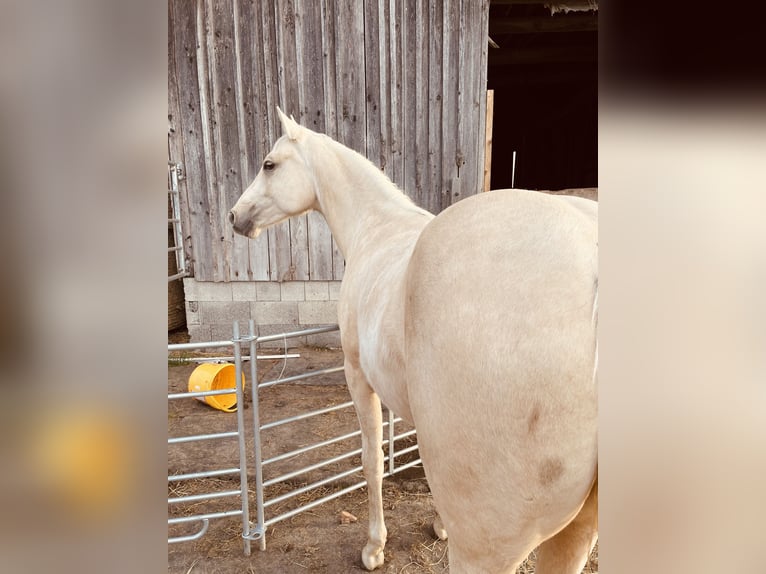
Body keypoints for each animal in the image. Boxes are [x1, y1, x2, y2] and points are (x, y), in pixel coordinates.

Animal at [228, 109, 600, 574]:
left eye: (269, 164)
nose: (234, 216)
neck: (376, 226)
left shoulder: (357, 375)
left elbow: (372, 461)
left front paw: (375, 547)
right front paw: (439, 525)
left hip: (489, 546)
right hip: (576, 532)